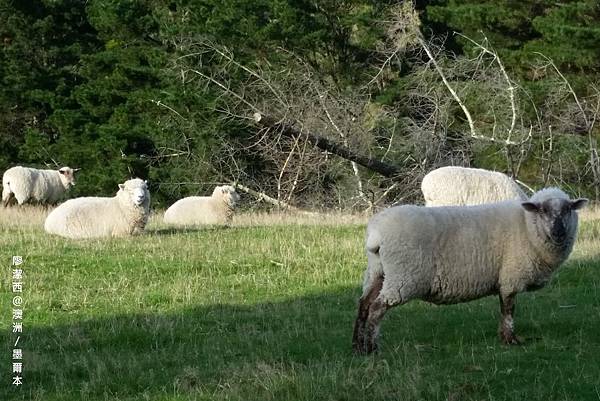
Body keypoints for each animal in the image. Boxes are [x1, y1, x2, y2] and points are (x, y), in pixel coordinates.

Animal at [354, 188, 588, 354]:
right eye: (543, 210)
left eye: (568, 209)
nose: (559, 232)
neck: (527, 226)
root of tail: (376, 233)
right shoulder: (510, 278)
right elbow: (508, 310)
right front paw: (510, 340)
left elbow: (504, 310)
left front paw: (503, 337)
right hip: (403, 277)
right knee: (376, 308)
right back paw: (372, 349)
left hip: (377, 272)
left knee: (364, 304)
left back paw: (357, 346)